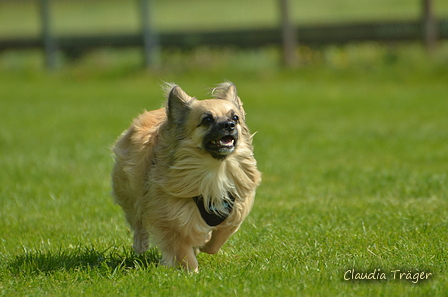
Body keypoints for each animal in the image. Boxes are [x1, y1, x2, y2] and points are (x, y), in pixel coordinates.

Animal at [110, 81, 260, 270]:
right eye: (207, 120)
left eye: (235, 118)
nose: (229, 125)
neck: (215, 170)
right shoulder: (171, 217)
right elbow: (181, 249)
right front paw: (191, 271)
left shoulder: (233, 210)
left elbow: (218, 239)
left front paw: (205, 245)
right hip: (131, 191)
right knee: (137, 221)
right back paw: (140, 245)